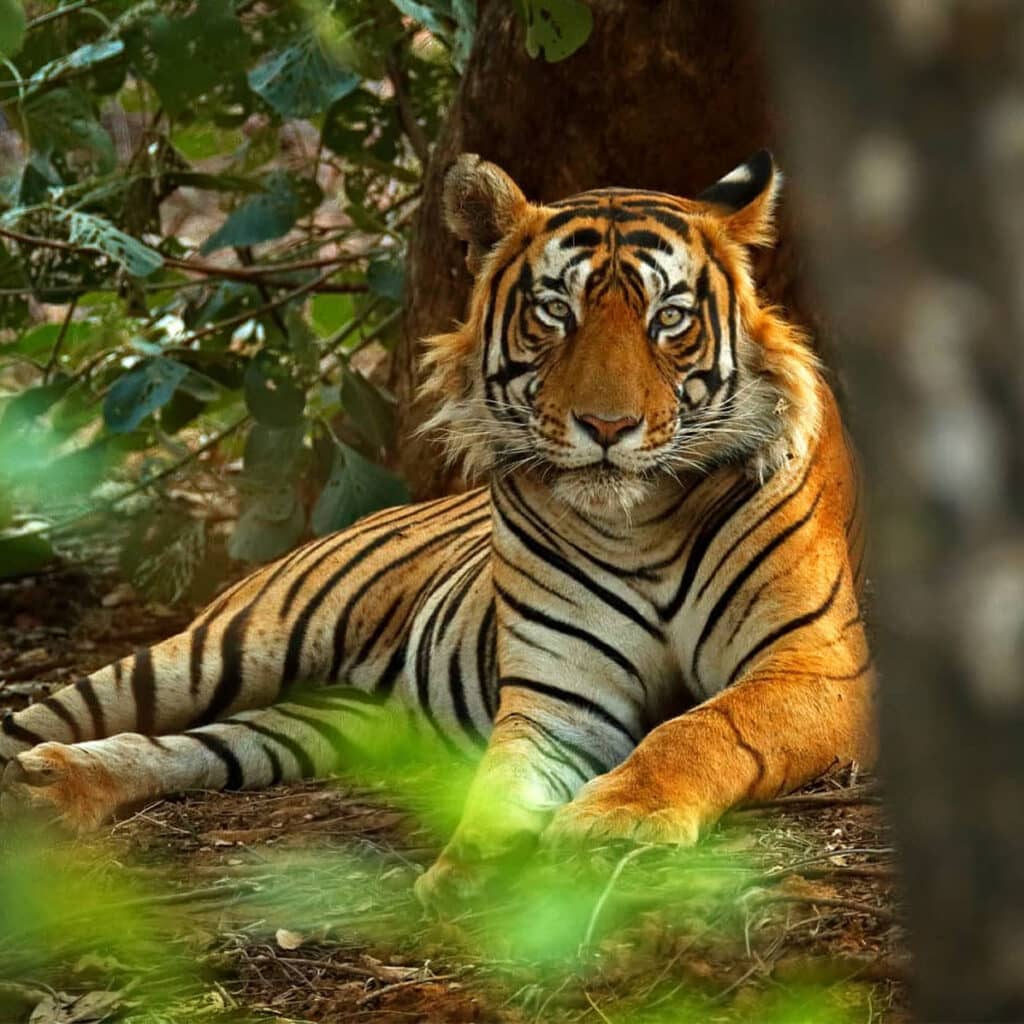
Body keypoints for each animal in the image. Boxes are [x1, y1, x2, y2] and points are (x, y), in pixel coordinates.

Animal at [0, 150, 874, 908]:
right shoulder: (559, 696)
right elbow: (504, 782)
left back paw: (54, 787)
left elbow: (702, 729)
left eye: (669, 319)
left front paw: (613, 821)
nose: (607, 426)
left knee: (189, 745)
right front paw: (475, 869)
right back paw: (39, 780)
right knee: (54, 716)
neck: (641, 525)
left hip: (318, 722)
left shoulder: (815, 665)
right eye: (556, 312)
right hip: (222, 648)